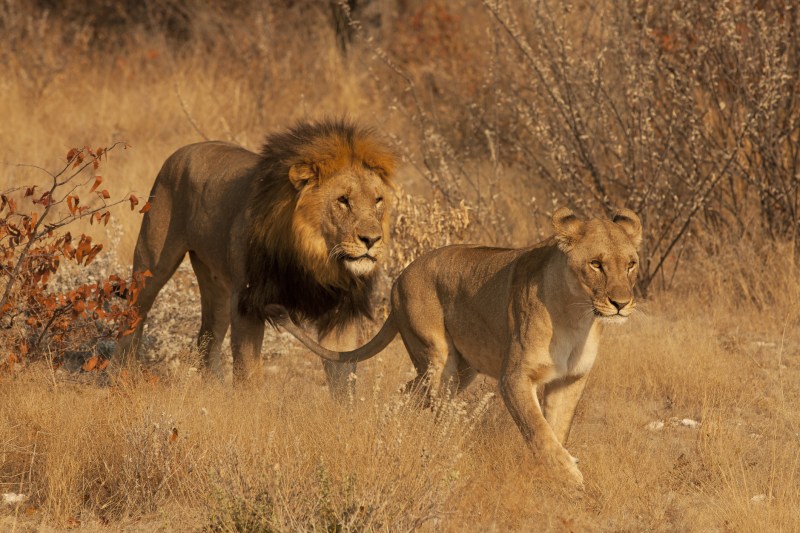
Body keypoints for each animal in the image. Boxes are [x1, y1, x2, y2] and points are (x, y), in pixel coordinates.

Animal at [116, 118, 396, 390]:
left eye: (378, 200)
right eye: (343, 200)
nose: (372, 240)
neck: (313, 259)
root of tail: (182, 150)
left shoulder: (339, 312)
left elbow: (343, 377)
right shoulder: (248, 302)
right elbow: (248, 374)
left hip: (215, 285)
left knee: (207, 338)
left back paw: (215, 392)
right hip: (152, 262)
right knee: (133, 317)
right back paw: (123, 377)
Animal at [278, 208, 640, 482]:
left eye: (631, 264)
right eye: (596, 264)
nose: (621, 304)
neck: (576, 314)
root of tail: (399, 279)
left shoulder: (570, 380)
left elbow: (556, 429)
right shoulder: (514, 377)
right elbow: (538, 429)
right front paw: (568, 476)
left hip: (462, 370)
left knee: (407, 395)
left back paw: (392, 429)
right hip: (439, 359)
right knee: (434, 408)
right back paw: (442, 451)